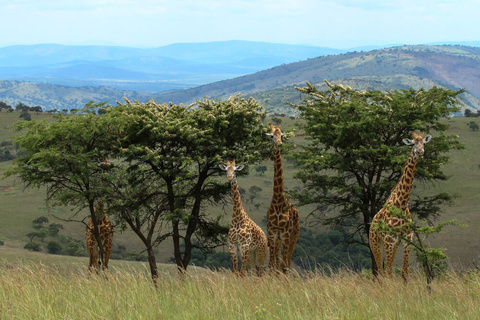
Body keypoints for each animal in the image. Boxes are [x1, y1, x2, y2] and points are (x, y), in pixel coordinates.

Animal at [370, 129, 434, 280]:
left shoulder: (406, 238)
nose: (420, 151)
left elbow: (405, 271)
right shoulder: (389, 239)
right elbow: (388, 272)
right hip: (375, 243)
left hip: (393, 244)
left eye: (424, 143)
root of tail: (371, 223)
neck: (402, 203)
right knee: (381, 271)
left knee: (385, 270)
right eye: (412, 143)